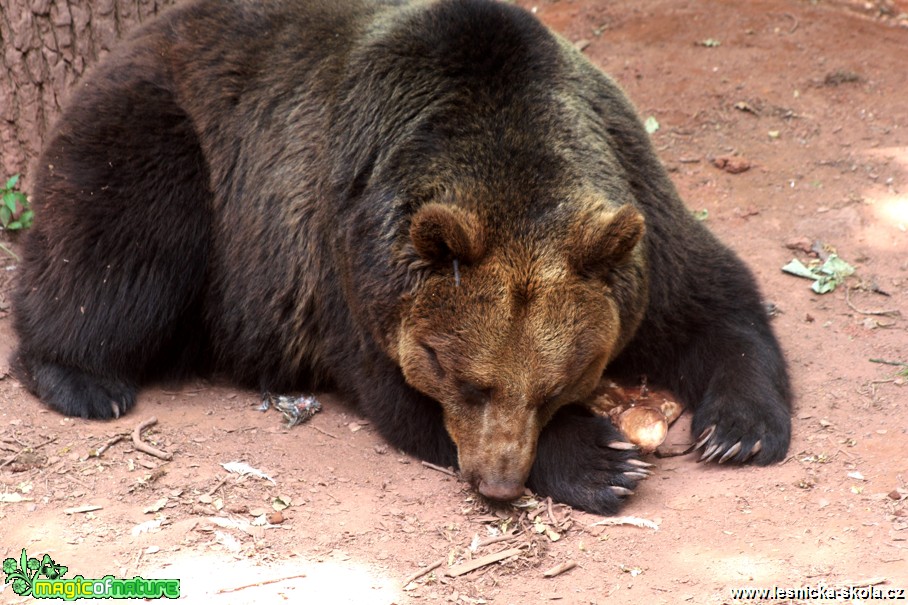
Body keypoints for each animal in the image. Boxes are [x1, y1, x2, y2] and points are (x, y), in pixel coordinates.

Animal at [10, 0, 788, 516]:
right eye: (466, 379)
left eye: (556, 382)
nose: (497, 480)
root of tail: (133, 38)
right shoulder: (344, 257)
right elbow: (392, 390)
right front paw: (602, 460)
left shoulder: (632, 199)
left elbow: (712, 299)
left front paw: (740, 430)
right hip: (174, 140)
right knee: (124, 243)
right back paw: (82, 376)